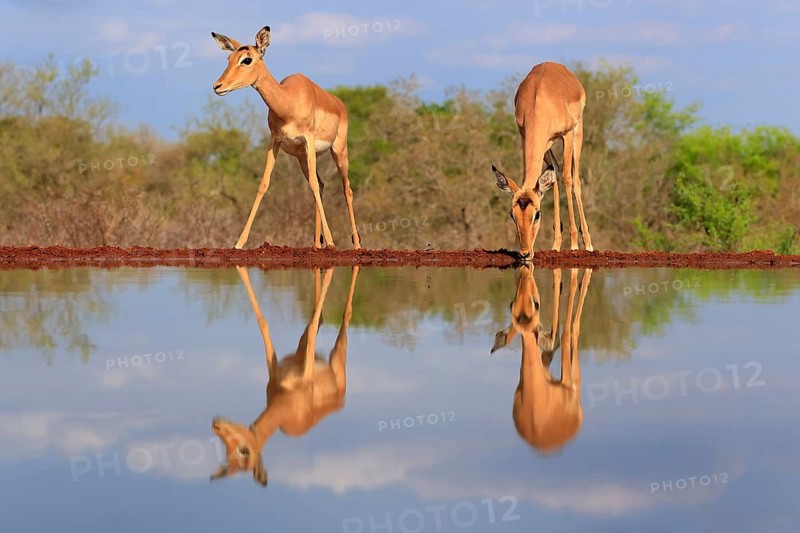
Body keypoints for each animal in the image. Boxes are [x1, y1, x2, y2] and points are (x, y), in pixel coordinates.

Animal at [210, 265, 359, 486]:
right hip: (300, 347)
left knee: (343, 315)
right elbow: (264, 323)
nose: (216, 425)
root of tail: (340, 399)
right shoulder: (275, 369)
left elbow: (314, 323)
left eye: (244, 451)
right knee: (319, 317)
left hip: (337, 355)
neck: (287, 400)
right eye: (227, 452)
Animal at [211, 26, 361, 250]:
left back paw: (356, 244)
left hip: (339, 151)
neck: (288, 101)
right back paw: (317, 245)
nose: (218, 86)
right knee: (320, 185)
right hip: (303, 158)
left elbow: (316, 185)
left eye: (247, 59)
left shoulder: (308, 139)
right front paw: (239, 243)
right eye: (229, 58)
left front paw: (331, 242)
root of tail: (339, 104)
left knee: (346, 189)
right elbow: (264, 184)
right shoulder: (275, 141)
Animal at [493, 62, 594, 260]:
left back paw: (586, 243)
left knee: (574, 179)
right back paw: (556, 243)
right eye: (512, 214)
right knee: (554, 173)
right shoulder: (526, 138)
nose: (525, 252)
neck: (538, 103)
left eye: (537, 214)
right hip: (546, 146)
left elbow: (568, 179)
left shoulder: (567, 135)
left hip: (577, 132)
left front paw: (573, 245)